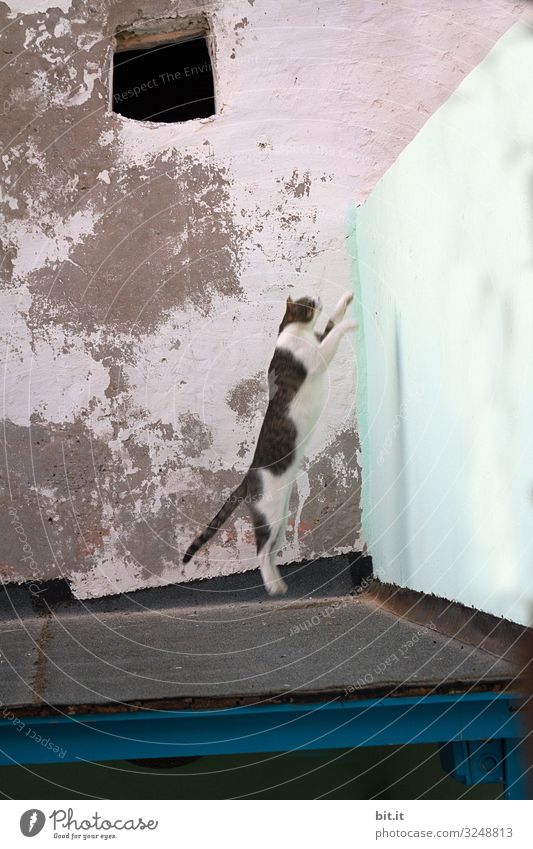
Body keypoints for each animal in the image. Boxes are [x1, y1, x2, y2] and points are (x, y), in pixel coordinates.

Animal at [184, 292, 358, 596]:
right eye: (307, 302)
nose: (318, 297)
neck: (295, 331)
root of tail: (248, 475)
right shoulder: (317, 357)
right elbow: (336, 330)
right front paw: (352, 323)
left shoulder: (319, 339)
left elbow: (332, 322)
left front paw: (345, 299)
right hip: (271, 513)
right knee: (261, 551)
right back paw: (273, 587)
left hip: (281, 517)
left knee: (272, 550)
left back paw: (279, 581)